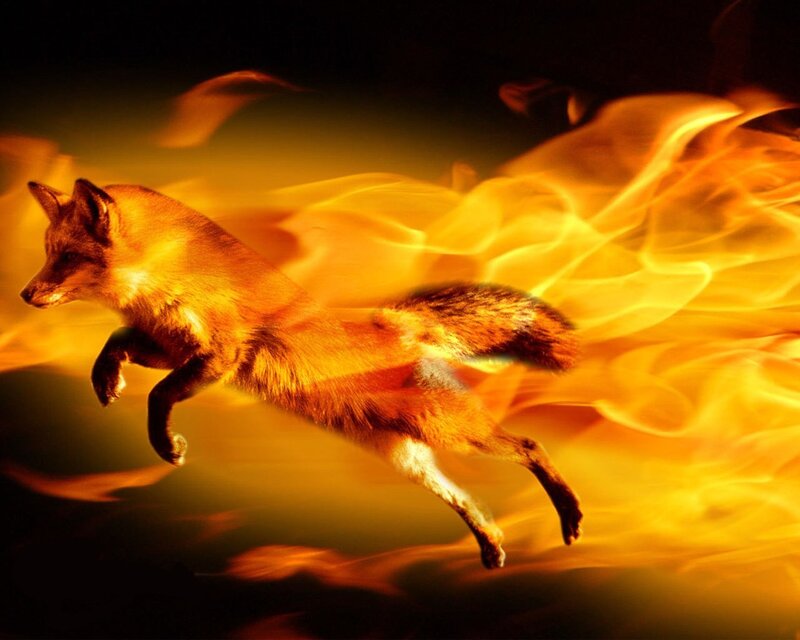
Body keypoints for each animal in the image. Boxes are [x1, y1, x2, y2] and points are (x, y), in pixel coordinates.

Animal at [20, 178, 582, 568]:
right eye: (48, 252)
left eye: (67, 256)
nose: (25, 295)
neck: (167, 277)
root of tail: (397, 322)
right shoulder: (167, 344)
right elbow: (116, 344)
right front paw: (105, 380)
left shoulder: (221, 353)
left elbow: (160, 395)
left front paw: (165, 444)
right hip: (408, 457)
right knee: (468, 502)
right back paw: (491, 545)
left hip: (448, 429)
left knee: (529, 446)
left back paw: (570, 514)